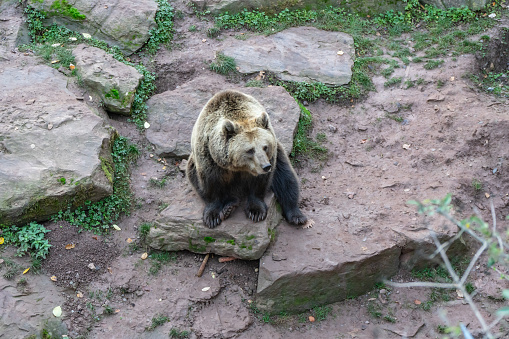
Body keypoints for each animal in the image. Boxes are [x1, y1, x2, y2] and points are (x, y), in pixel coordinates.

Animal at [186, 89, 306, 228]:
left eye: (265, 147)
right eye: (250, 150)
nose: (266, 166)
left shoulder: (269, 157)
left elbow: (260, 183)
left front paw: (256, 211)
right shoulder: (210, 158)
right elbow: (210, 183)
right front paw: (212, 217)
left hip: (279, 154)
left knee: (286, 178)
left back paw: (296, 216)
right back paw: (229, 206)